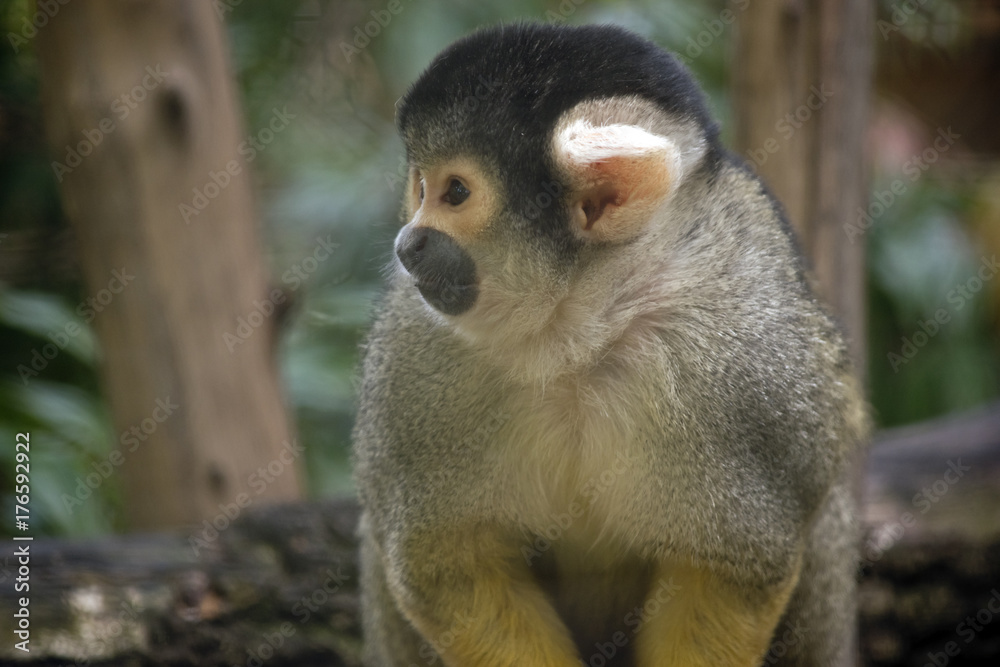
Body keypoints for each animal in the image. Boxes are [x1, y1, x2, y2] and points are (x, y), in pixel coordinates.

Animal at [352, 22, 868, 667]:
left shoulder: (746, 365)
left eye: (456, 193)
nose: (409, 243)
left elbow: (733, 571)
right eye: (420, 187)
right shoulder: (415, 353)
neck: (578, 334)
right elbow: (444, 563)